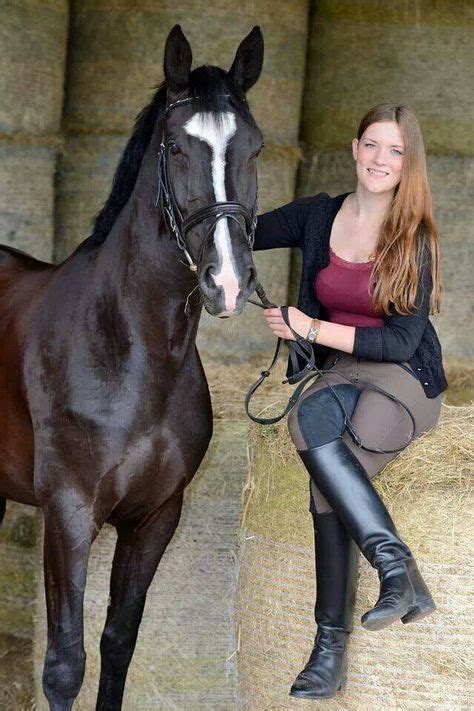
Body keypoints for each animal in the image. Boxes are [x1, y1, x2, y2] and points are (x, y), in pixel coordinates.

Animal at [0, 25, 264, 708]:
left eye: (254, 148)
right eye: (174, 146)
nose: (227, 282)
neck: (130, 351)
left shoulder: (154, 519)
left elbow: (118, 644)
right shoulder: (68, 514)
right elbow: (65, 663)